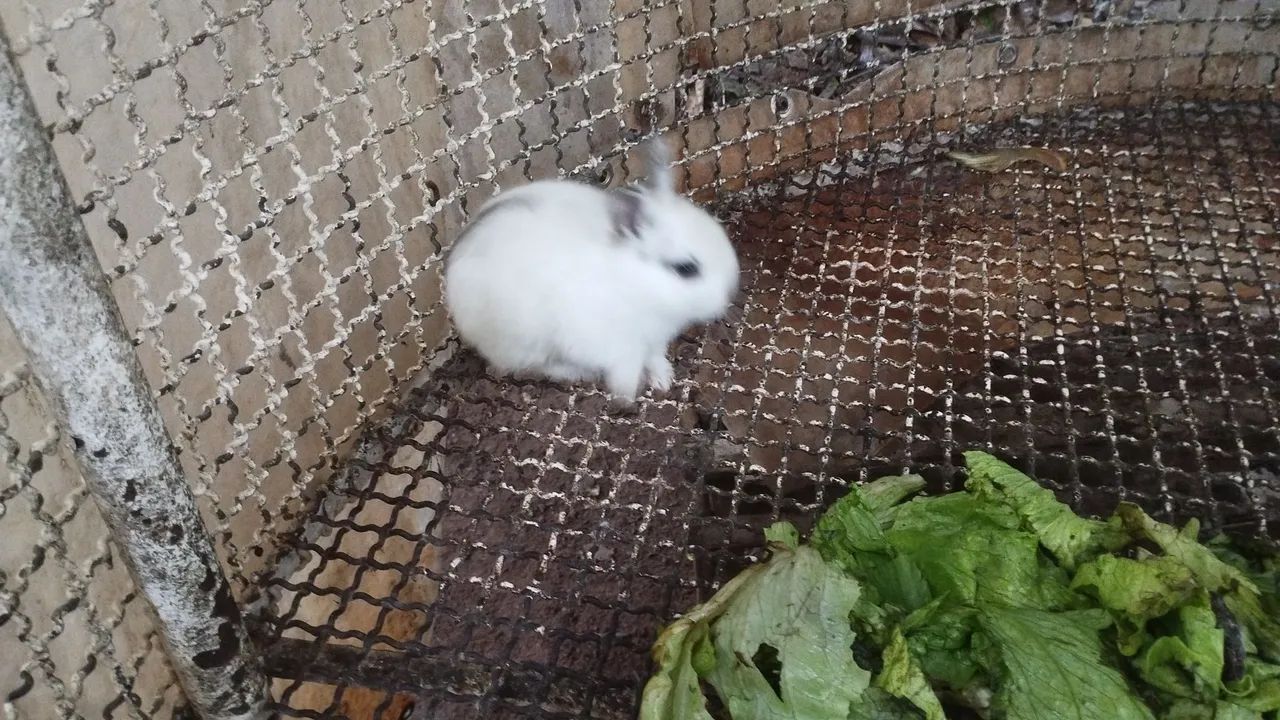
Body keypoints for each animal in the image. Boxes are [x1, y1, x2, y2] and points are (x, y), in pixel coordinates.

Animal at [443, 138, 739, 403]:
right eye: (685, 269)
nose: (725, 300)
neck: (633, 285)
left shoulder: (653, 339)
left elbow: (654, 357)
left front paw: (662, 380)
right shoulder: (605, 342)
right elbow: (626, 364)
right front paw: (626, 393)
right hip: (524, 343)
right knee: (539, 366)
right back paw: (577, 372)